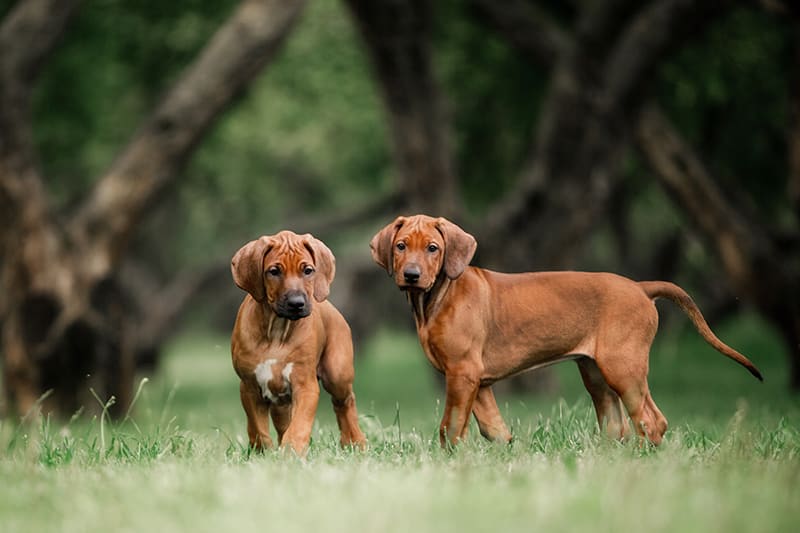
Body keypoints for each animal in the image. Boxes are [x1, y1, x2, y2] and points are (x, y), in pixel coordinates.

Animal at [230, 229, 368, 454]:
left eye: (308, 270)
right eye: (274, 271)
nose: (297, 303)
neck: (277, 329)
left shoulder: (305, 385)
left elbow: (299, 424)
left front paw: (291, 451)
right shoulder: (249, 387)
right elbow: (258, 428)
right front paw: (263, 452)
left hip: (337, 373)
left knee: (344, 402)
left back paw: (355, 441)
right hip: (280, 401)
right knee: (281, 421)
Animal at [370, 214, 764, 446]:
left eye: (433, 248)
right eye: (401, 246)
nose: (411, 275)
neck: (436, 296)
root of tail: (640, 287)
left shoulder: (463, 372)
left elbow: (450, 427)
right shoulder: (476, 380)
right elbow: (493, 428)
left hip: (623, 367)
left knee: (651, 420)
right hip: (596, 373)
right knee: (617, 425)